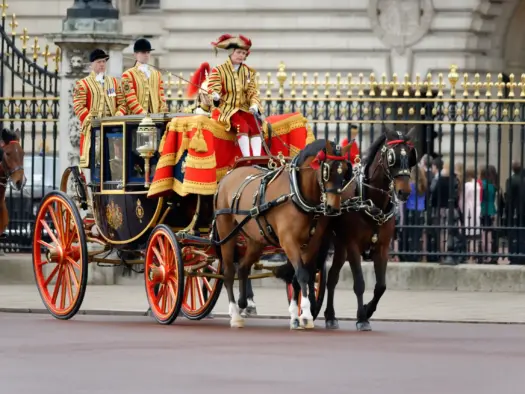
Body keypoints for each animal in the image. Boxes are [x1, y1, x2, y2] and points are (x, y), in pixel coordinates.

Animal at [212, 139, 352, 330]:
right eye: (327, 171)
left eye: (344, 171)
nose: (333, 208)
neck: (297, 194)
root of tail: (228, 175)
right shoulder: (289, 241)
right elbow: (301, 274)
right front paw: (305, 315)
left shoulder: (311, 244)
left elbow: (299, 276)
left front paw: (296, 315)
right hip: (226, 231)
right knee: (228, 271)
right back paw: (235, 314)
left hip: (256, 239)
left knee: (242, 267)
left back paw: (244, 304)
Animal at [320, 126, 418, 330]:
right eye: (392, 157)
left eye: (411, 156)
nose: (404, 192)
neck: (371, 202)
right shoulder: (353, 246)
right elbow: (359, 283)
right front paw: (362, 318)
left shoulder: (382, 248)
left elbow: (381, 286)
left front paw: (367, 310)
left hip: (340, 246)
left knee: (332, 277)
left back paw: (330, 316)